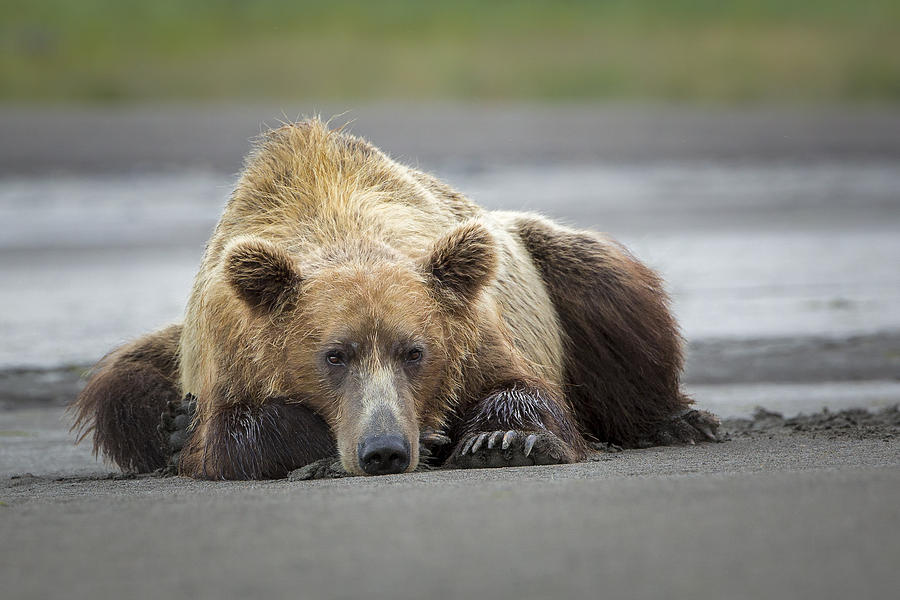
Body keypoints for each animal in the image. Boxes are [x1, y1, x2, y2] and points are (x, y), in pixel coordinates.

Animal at [68, 119, 716, 480]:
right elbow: (235, 433)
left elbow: (522, 389)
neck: (333, 215)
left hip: (545, 254)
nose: (384, 449)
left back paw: (676, 421)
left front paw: (500, 439)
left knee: (607, 288)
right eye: (333, 355)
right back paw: (169, 428)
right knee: (122, 385)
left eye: (415, 352)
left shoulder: (476, 323)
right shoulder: (228, 345)